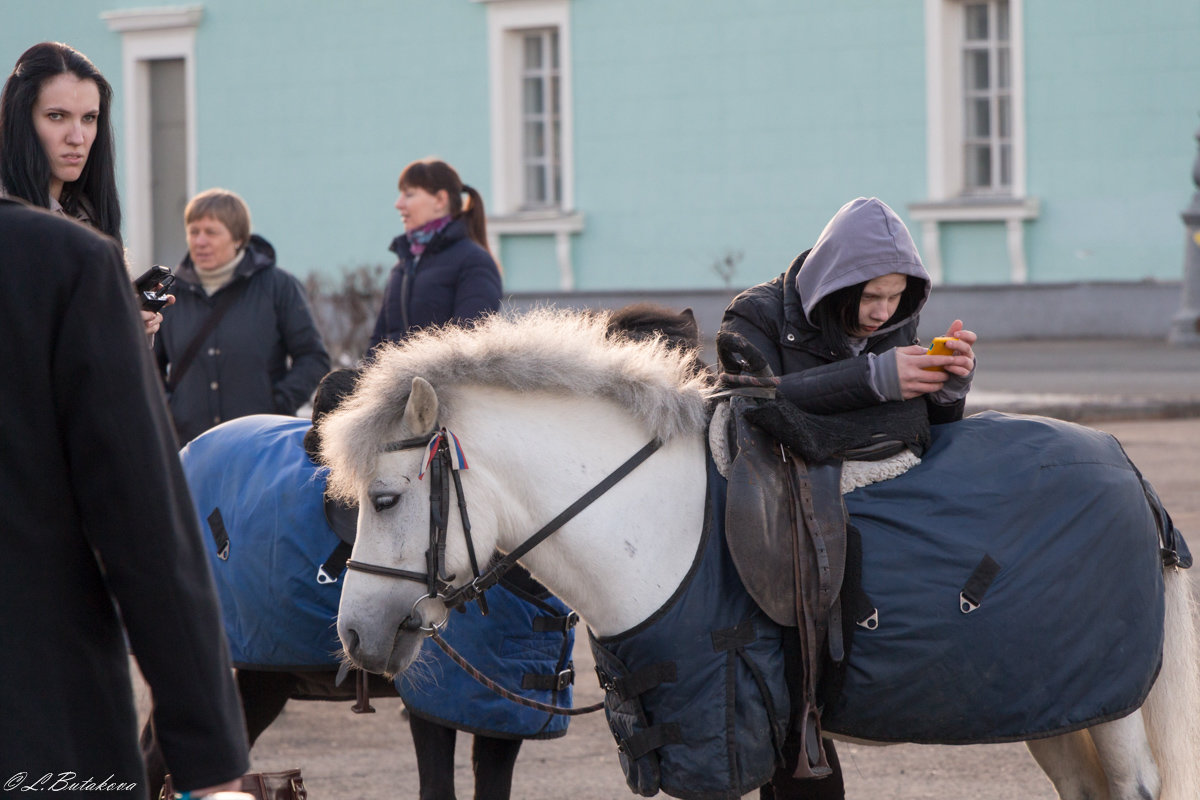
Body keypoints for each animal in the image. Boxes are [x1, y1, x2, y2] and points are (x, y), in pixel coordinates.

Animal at [324, 309, 1200, 800]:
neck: (658, 525)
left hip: (1114, 706)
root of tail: (1133, 476)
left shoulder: (718, 732)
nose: (355, 636)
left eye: (386, 499)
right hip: (1055, 703)